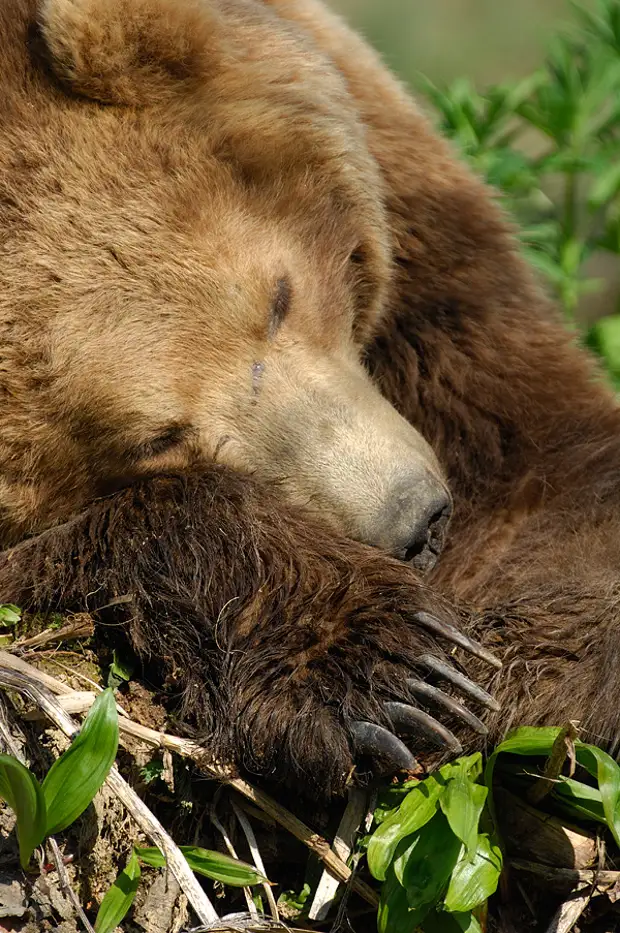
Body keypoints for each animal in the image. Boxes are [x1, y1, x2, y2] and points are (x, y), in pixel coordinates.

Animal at [1, 0, 620, 796]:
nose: (414, 521)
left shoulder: (422, 259)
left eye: (278, 296)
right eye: (155, 439)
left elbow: (542, 475)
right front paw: (396, 674)